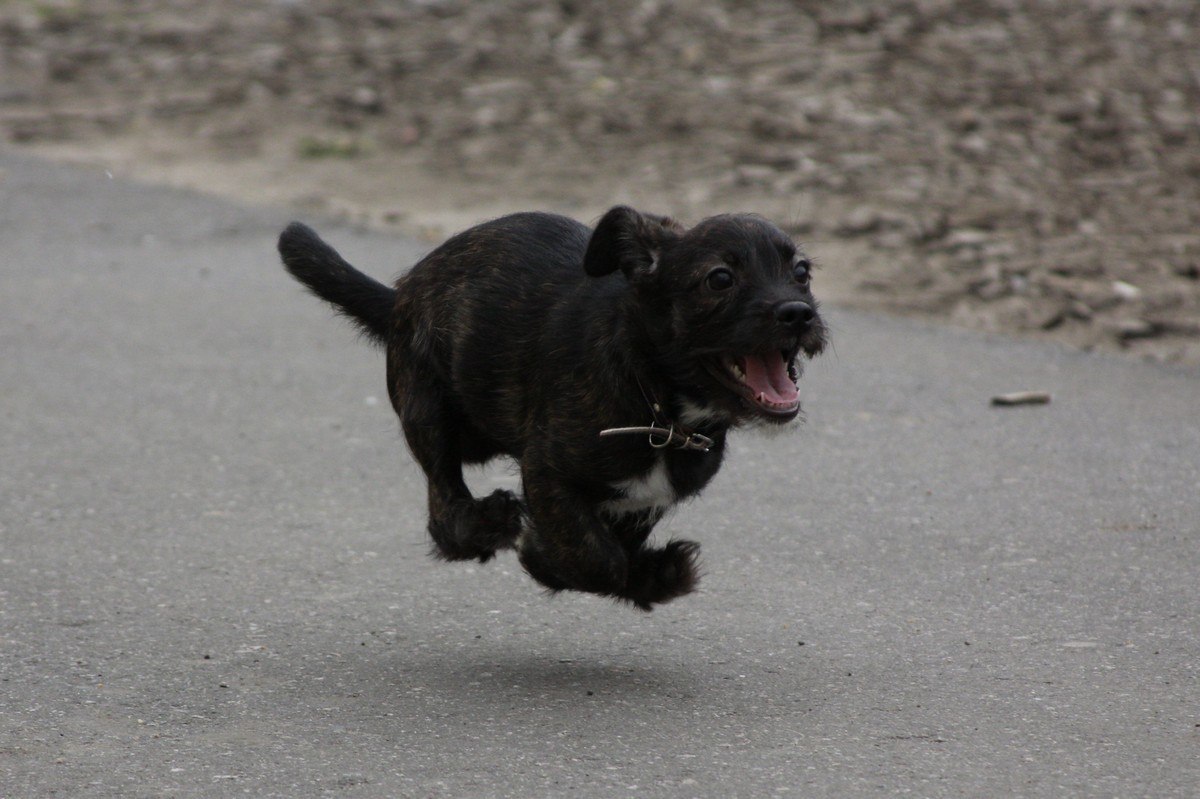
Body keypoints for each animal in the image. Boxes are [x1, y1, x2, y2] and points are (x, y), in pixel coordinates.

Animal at [279, 203, 825, 604]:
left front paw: (652, 575)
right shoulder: (546, 471)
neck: (657, 402)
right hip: (427, 411)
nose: (799, 313)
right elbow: (594, 556)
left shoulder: (644, 500)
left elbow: (613, 550)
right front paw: (544, 559)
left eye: (802, 272)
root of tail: (400, 296)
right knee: (444, 510)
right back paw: (489, 522)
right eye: (719, 278)